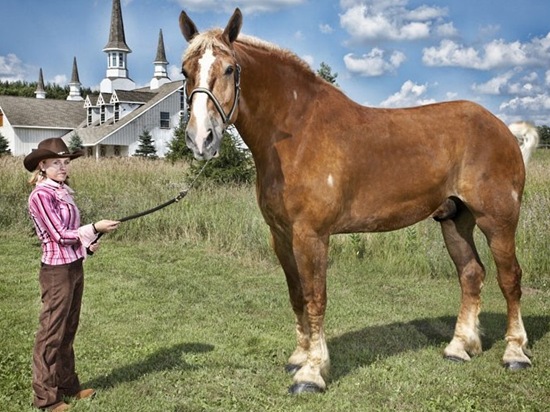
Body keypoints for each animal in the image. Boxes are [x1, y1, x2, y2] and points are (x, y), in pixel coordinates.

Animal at [178, 7, 540, 392]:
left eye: (230, 69)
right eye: (185, 71)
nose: (201, 139)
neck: (299, 132)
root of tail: (503, 129)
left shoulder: (311, 235)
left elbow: (315, 297)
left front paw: (312, 372)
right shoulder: (281, 236)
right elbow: (296, 296)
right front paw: (299, 357)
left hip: (497, 220)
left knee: (510, 278)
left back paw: (515, 353)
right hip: (455, 220)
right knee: (471, 274)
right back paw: (459, 347)